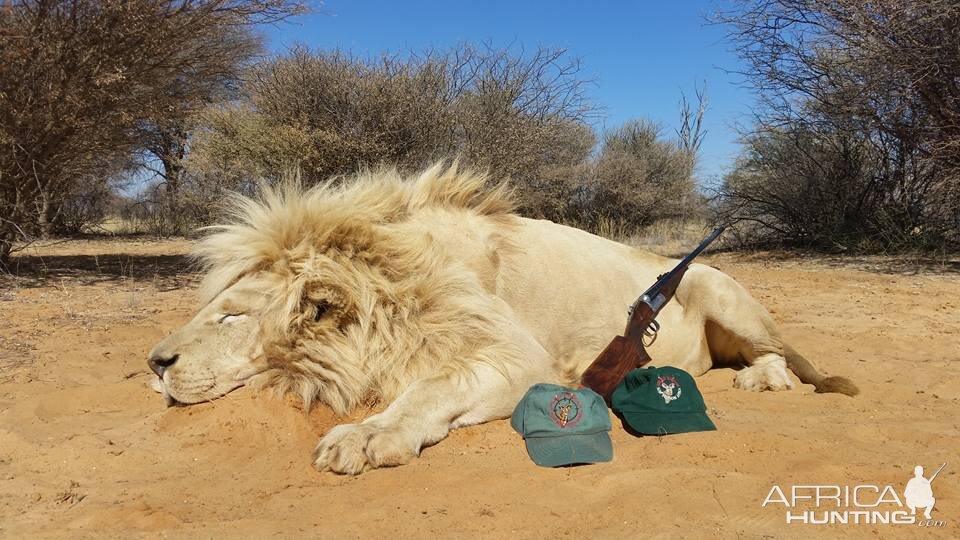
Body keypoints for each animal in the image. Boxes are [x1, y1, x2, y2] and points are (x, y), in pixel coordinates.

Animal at [148, 163, 856, 472]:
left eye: (231, 317)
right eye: (209, 310)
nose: (154, 363)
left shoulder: (520, 359)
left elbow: (427, 388)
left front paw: (367, 436)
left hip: (723, 291)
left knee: (784, 354)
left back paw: (762, 379)